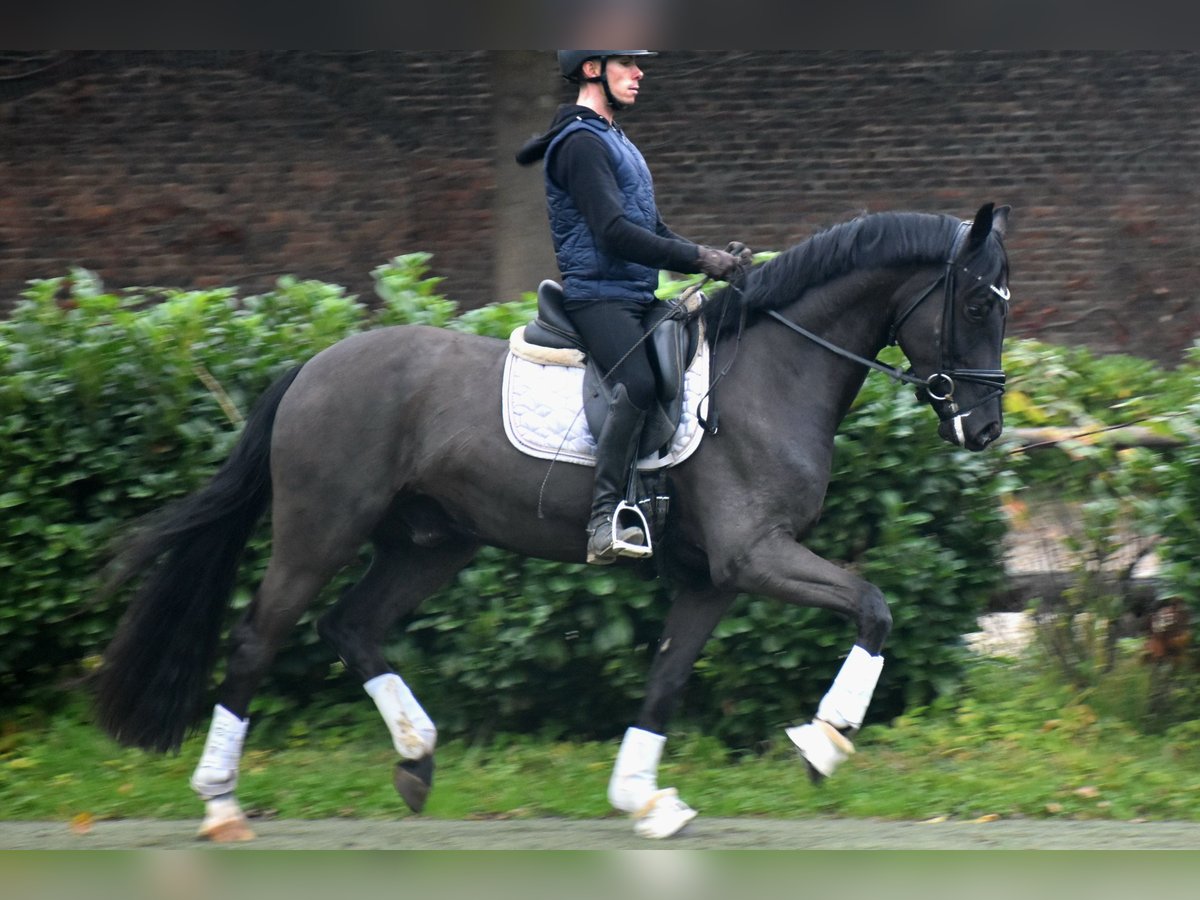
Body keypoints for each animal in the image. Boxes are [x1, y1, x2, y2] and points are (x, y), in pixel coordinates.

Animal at [96, 202, 1012, 840]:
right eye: (974, 304)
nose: (985, 429)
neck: (771, 372)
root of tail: (314, 363)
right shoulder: (755, 555)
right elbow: (873, 607)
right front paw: (824, 740)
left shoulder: (714, 578)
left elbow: (666, 680)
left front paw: (642, 798)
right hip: (321, 528)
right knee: (260, 636)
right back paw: (220, 803)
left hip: (431, 544)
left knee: (351, 626)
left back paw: (416, 755)